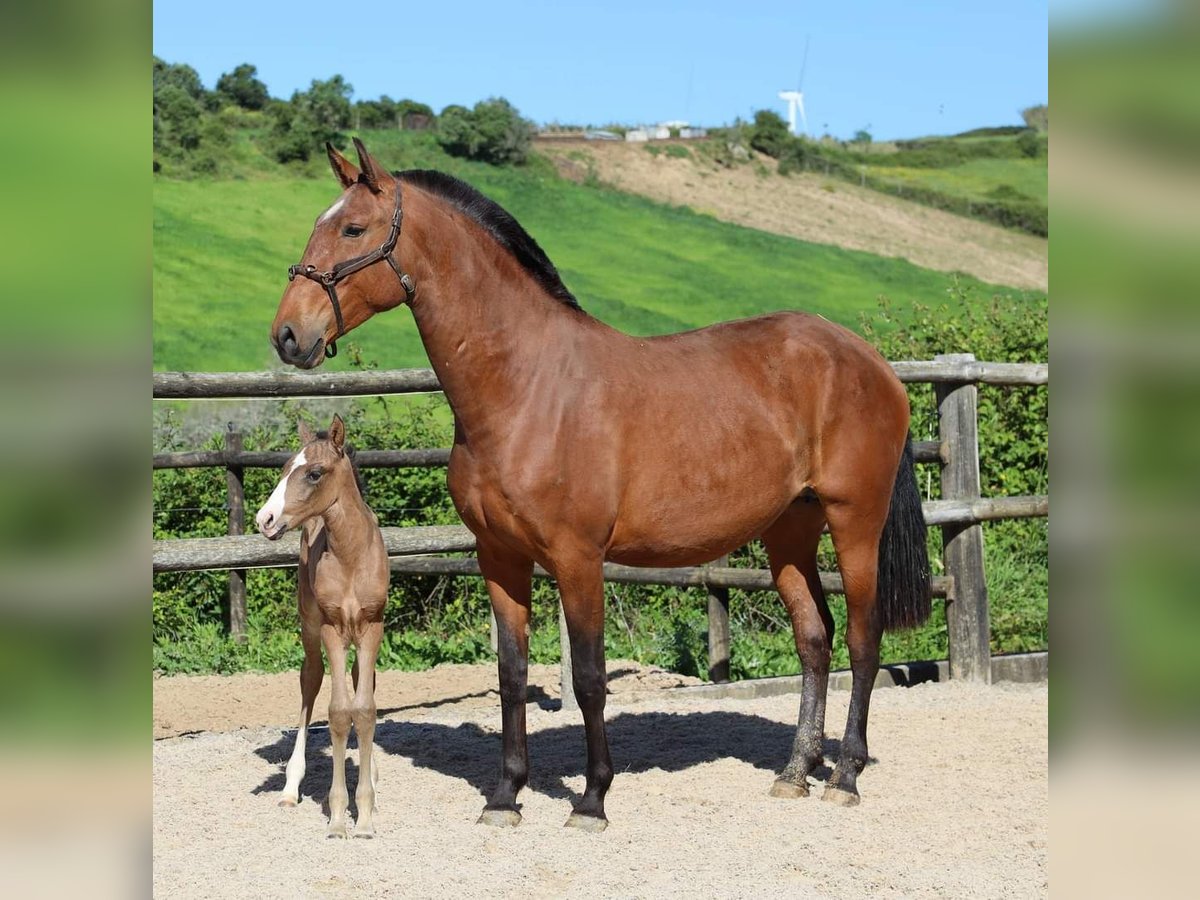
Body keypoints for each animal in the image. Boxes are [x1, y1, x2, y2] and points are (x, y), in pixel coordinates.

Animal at [254, 415, 388, 840]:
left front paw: (366, 817)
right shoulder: (332, 628)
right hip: (311, 630)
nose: (265, 519)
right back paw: (290, 787)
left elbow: (364, 710)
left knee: (363, 681)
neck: (351, 556)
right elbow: (338, 712)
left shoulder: (371, 626)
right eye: (283, 469)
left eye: (314, 473)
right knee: (311, 680)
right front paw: (338, 818)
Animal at [267, 137, 931, 835]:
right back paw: (795, 772)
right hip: (790, 531)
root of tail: (871, 361)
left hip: (854, 521)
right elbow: (511, 675)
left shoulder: (578, 558)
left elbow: (588, 678)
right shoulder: (499, 558)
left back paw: (846, 776)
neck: (526, 386)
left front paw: (591, 799)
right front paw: (505, 796)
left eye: (352, 228)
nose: (288, 334)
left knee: (862, 640)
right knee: (814, 639)